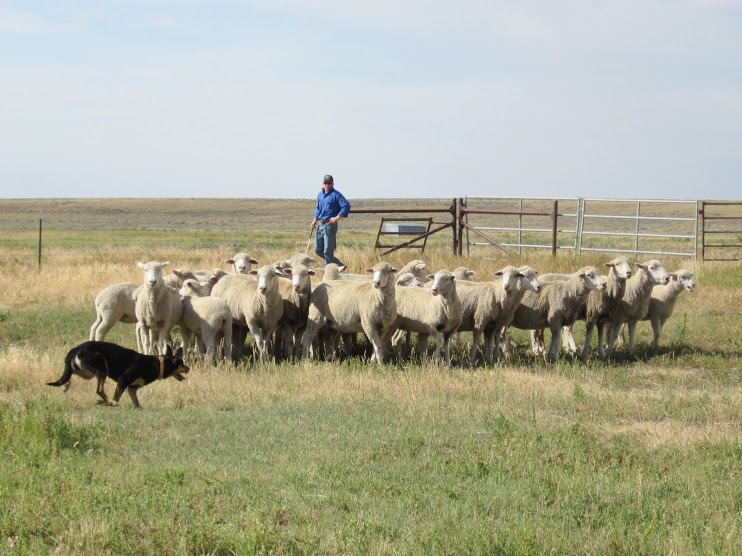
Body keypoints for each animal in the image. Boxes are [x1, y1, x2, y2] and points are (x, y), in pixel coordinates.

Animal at [48, 338, 190, 408]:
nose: (188, 368)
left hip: (87, 372)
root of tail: (75, 349)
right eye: (182, 363)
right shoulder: (123, 381)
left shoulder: (132, 388)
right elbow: (116, 397)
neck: (157, 364)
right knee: (99, 390)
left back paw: (67, 385)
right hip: (102, 369)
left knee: (71, 373)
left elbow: (136, 403)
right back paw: (110, 402)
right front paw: (107, 403)